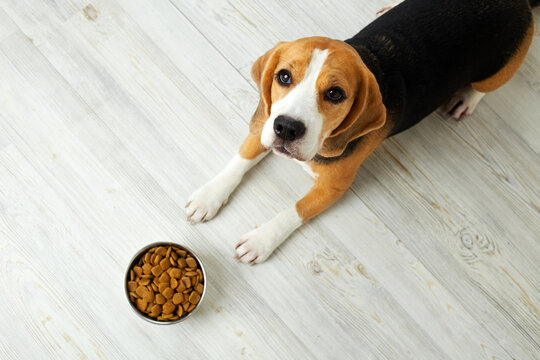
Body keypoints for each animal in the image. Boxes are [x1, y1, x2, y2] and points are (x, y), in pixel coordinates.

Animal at [185, 0, 536, 264]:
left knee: (483, 88)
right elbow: (241, 159)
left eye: (335, 94)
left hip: (499, 72)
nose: (287, 128)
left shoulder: (335, 186)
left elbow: (295, 210)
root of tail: (517, 1)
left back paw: (467, 100)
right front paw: (209, 195)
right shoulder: (264, 126)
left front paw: (261, 239)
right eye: (283, 77)